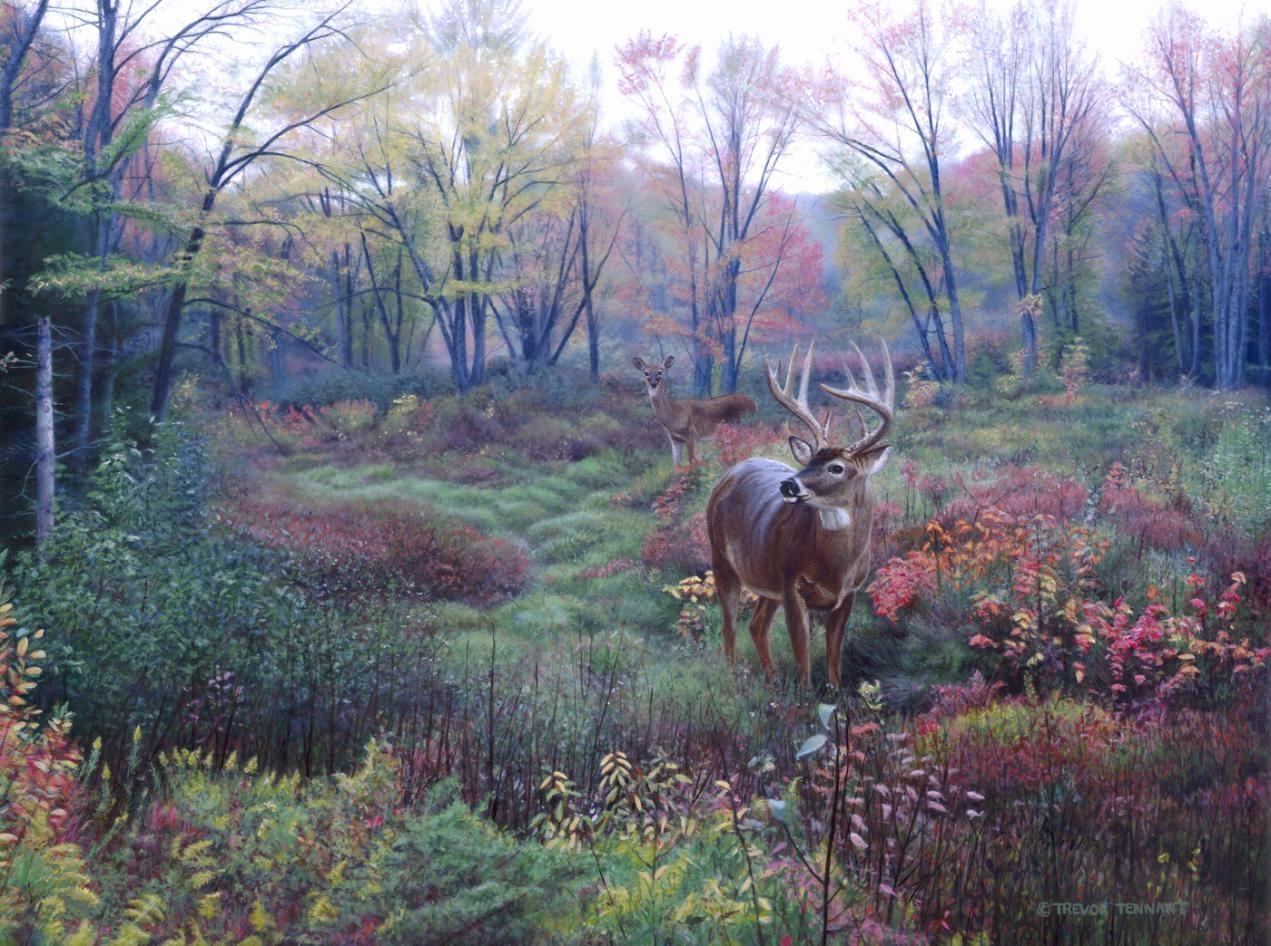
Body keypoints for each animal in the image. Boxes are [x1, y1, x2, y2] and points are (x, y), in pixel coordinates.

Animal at [706, 340, 895, 688]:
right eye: (810, 461)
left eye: (837, 467)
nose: (788, 484)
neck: (836, 566)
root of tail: (732, 472)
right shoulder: (792, 583)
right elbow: (803, 656)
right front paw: (804, 697)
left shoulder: (850, 592)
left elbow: (834, 655)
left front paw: (833, 694)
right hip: (721, 558)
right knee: (730, 625)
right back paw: (734, 678)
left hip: (766, 578)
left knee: (756, 625)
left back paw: (772, 680)